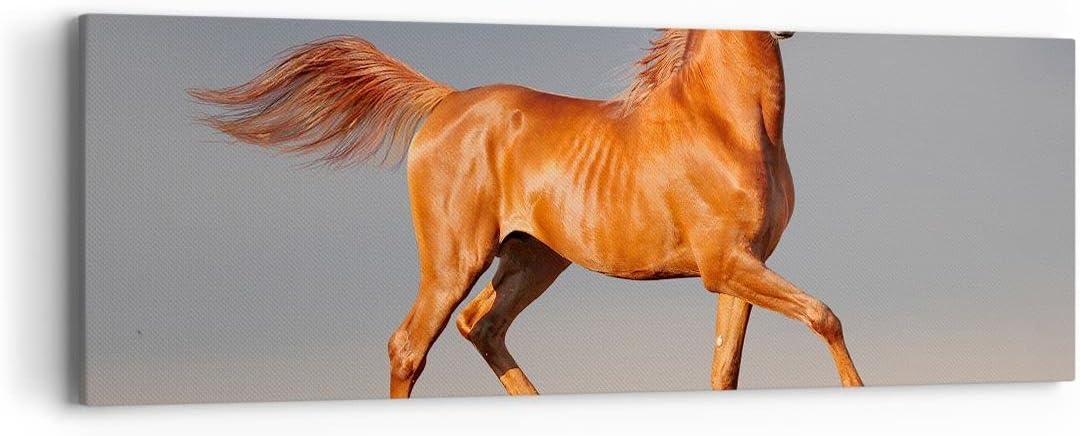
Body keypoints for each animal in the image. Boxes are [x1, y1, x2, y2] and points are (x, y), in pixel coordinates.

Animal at [191, 28, 864, 398]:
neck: (728, 123)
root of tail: (445, 102)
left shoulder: (740, 268)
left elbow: (726, 371)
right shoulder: (725, 264)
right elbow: (825, 316)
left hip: (533, 259)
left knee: (482, 326)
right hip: (455, 260)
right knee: (411, 345)